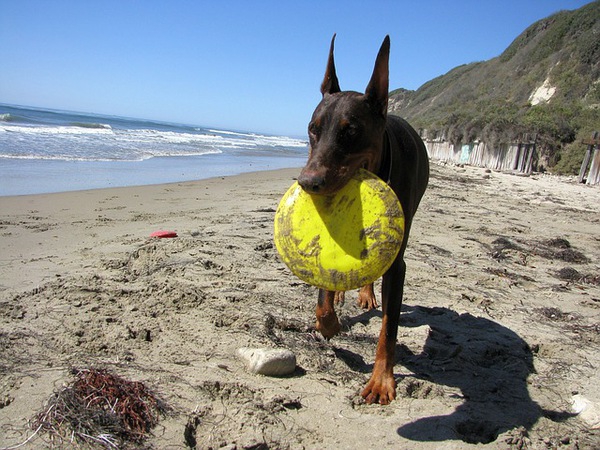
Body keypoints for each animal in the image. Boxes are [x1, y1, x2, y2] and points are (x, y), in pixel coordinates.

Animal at [298, 35, 428, 404]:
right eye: (312, 129)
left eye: (351, 131)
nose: (308, 182)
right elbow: (322, 303)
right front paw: (329, 322)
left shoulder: (397, 263)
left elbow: (389, 329)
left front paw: (382, 380)